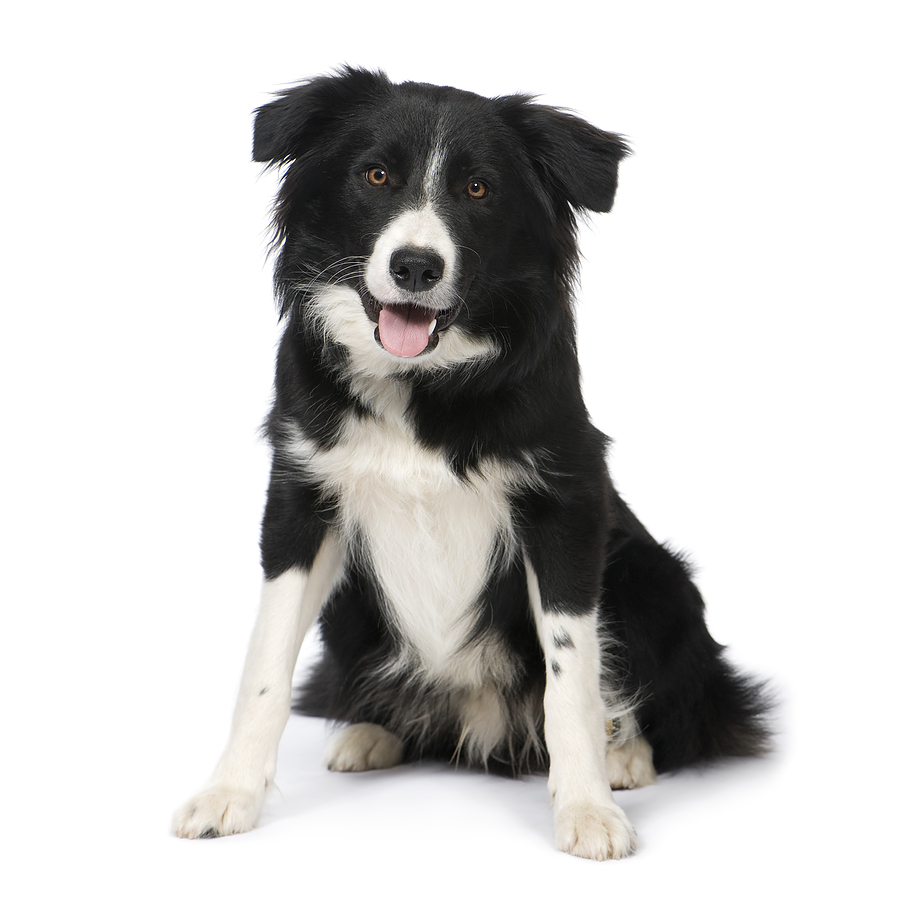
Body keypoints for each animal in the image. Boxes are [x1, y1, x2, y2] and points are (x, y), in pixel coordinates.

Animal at [172, 68, 768, 856]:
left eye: (478, 189)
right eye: (376, 175)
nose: (415, 267)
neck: (420, 385)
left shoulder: (566, 505)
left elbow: (571, 675)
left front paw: (588, 809)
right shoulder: (299, 500)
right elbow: (264, 664)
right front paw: (228, 794)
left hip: (652, 577)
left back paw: (626, 755)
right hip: (352, 606)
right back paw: (372, 733)